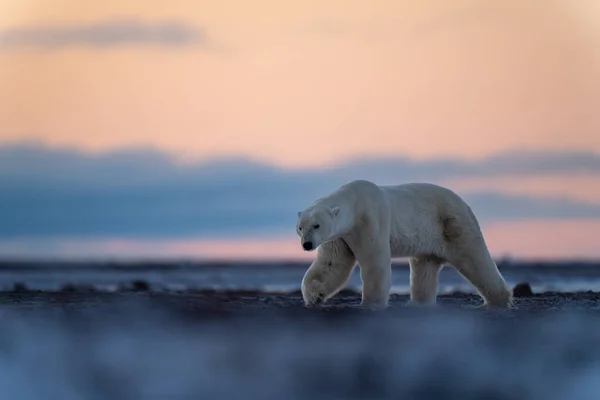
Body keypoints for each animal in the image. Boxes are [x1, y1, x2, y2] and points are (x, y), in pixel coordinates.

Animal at [296, 180, 510, 310]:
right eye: (300, 227)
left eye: (316, 225)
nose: (307, 244)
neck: (355, 203)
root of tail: (464, 203)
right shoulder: (340, 236)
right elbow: (331, 265)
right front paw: (314, 296)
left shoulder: (370, 221)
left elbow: (375, 262)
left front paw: (371, 303)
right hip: (429, 239)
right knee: (424, 267)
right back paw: (418, 303)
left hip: (452, 223)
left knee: (474, 258)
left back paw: (498, 301)